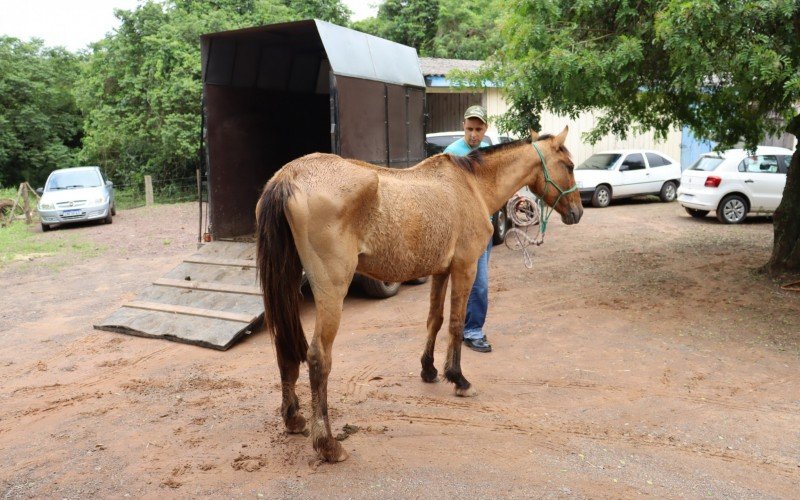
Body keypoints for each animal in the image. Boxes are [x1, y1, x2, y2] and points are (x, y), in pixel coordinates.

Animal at [256, 127, 580, 462]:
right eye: (569, 166)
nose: (577, 212)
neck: (472, 184)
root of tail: (288, 177)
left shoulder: (440, 270)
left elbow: (434, 320)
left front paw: (429, 369)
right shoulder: (465, 267)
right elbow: (456, 323)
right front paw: (459, 379)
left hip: (288, 283)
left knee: (284, 348)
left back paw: (293, 418)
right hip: (332, 289)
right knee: (318, 357)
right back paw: (328, 444)